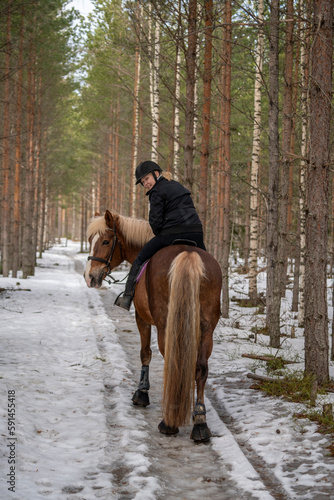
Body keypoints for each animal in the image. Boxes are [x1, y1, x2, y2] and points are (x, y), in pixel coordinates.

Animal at [85, 210, 223, 442]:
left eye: (105, 241)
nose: (89, 276)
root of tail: (188, 255)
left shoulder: (142, 318)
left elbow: (145, 353)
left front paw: (141, 393)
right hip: (206, 327)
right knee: (201, 368)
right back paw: (200, 422)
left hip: (166, 324)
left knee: (172, 362)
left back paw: (169, 421)